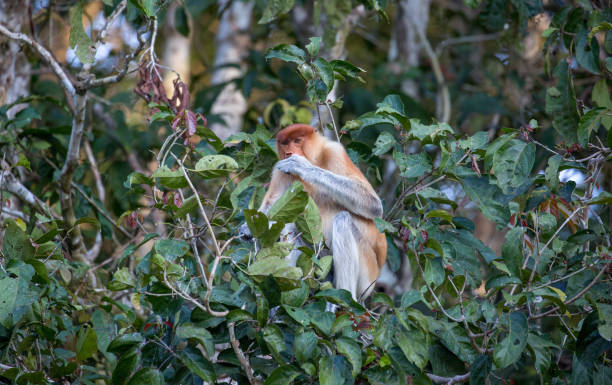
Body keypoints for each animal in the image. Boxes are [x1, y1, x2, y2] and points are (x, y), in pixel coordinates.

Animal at [258, 124, 388, 302]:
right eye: (284, 144)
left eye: (297, 140)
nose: (288, 153)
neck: (316, 159)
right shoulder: (279, 169)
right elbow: (269, 208)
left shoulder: (335, 152)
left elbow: (373, 204)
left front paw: (301, 166)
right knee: (289, 225)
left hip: (367, 274)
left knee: (343, 220)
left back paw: (343, 299)